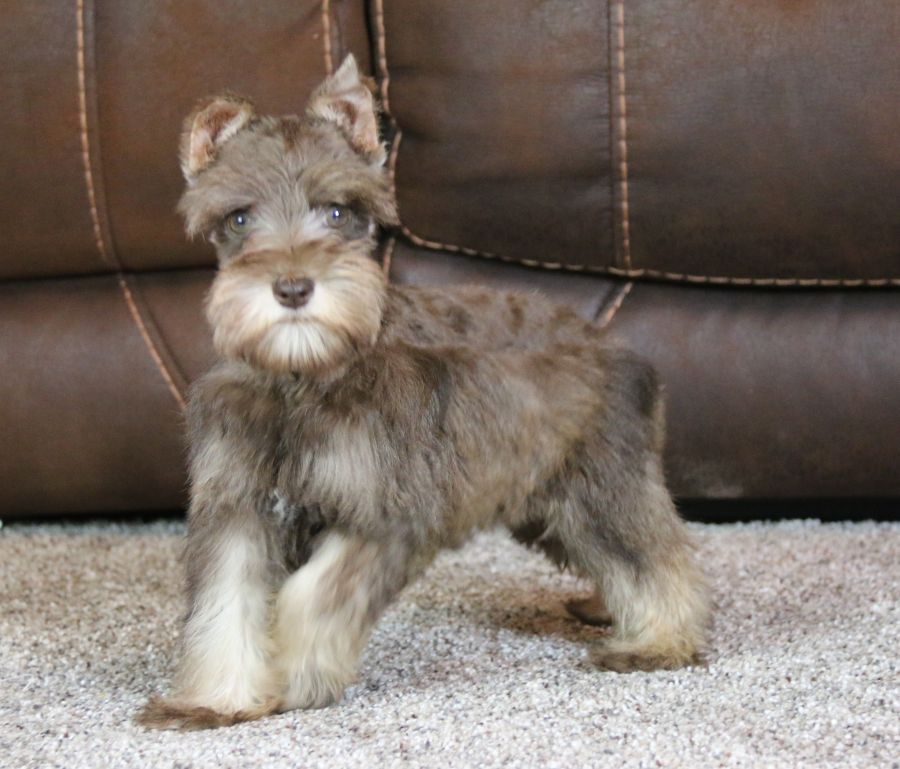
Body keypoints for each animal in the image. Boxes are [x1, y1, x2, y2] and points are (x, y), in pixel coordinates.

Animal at [138, 55, 710, 730]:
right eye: (239, 218)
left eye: (339, 213)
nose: (294, 287)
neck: (304, 374)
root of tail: (620, 349)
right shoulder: (237, 510)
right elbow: (225, 605)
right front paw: (217, 698)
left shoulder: (389, 511)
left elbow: (318, 595)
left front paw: (299, 674)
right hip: (547, 505)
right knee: (622, 556)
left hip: (600, 486)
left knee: (655, 556)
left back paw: (659, 640)